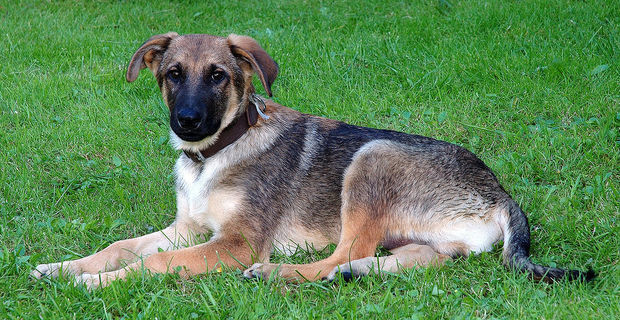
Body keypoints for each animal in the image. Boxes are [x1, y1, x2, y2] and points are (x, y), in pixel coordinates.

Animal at [30, 31, 596, 288]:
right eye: (172, 74)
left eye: (218, 76)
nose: (187, 122)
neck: (213, 157)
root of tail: (500, 192)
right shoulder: (187, 229)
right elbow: (121, 246)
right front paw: (65, 266)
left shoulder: (235, 244)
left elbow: (153, 262)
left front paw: (97, 282)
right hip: (427, 237)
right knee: (413, 258)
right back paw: (356, 274)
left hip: (373, 157)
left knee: (342, 251)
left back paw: (279, 273)